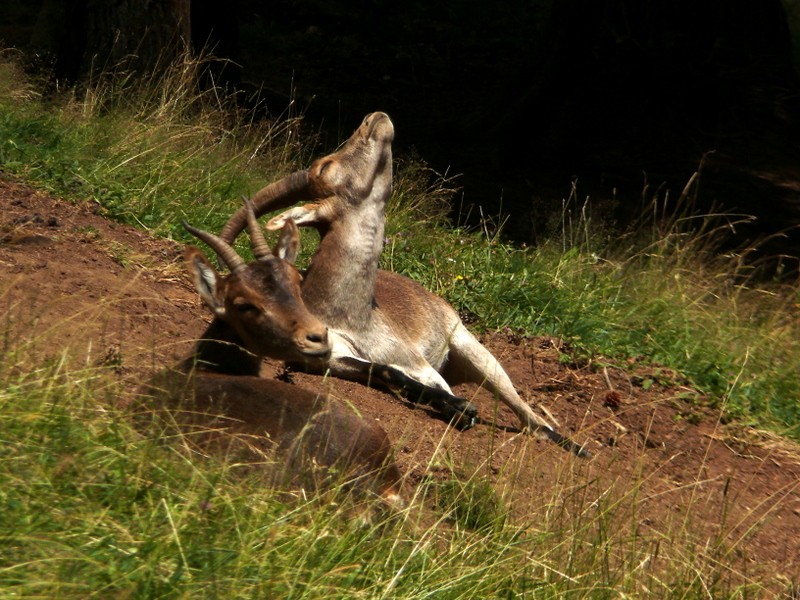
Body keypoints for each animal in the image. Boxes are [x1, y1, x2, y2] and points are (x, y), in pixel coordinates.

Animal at [219, 112, 588, 458]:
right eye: (325, 166)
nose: (373, 118)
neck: (351, 316)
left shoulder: (417, 361)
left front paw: (460, 407)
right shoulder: (330, 358)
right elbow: (386, 372)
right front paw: (460, 407)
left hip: (472, 347)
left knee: (527, 413)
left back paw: (577, 447)